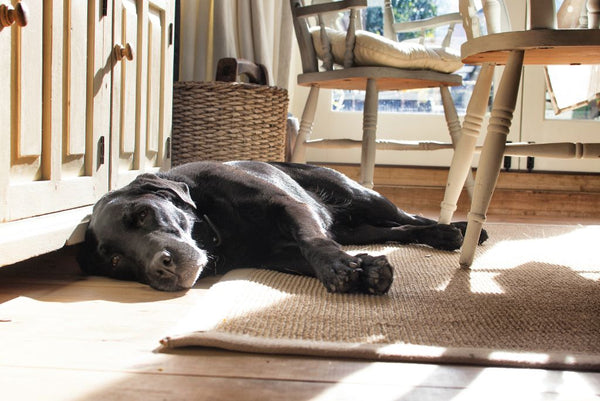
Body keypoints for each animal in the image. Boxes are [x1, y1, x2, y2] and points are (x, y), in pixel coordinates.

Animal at [77, 159, 486, 294]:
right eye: (117, 262)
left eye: (143, 215)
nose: (159, 267)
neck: (215, 225)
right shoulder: (278, 254)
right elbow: (311, 253)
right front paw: (366, 270)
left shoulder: (289, 206)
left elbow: (313, 242)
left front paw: (340, 268)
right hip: (359, 229)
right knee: (397, 230)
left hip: (360, 196)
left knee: (410, 218)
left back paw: (460, 230)